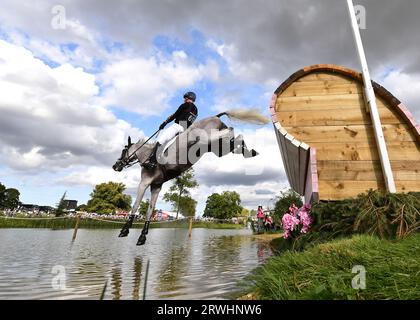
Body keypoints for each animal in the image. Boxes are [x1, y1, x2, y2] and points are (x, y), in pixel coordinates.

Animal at [111, 109, 270, 246]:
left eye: (124, 150)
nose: (115, 166)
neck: (146, 155)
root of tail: (215, 116)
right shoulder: (156, 186)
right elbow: (150, 210)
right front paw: (142, 236)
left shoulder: (144, 183)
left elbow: (135, 205)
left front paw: (125, 230)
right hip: (218, 148)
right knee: (235, 140)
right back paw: (250, 152)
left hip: (208, 138)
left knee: (231, 129)